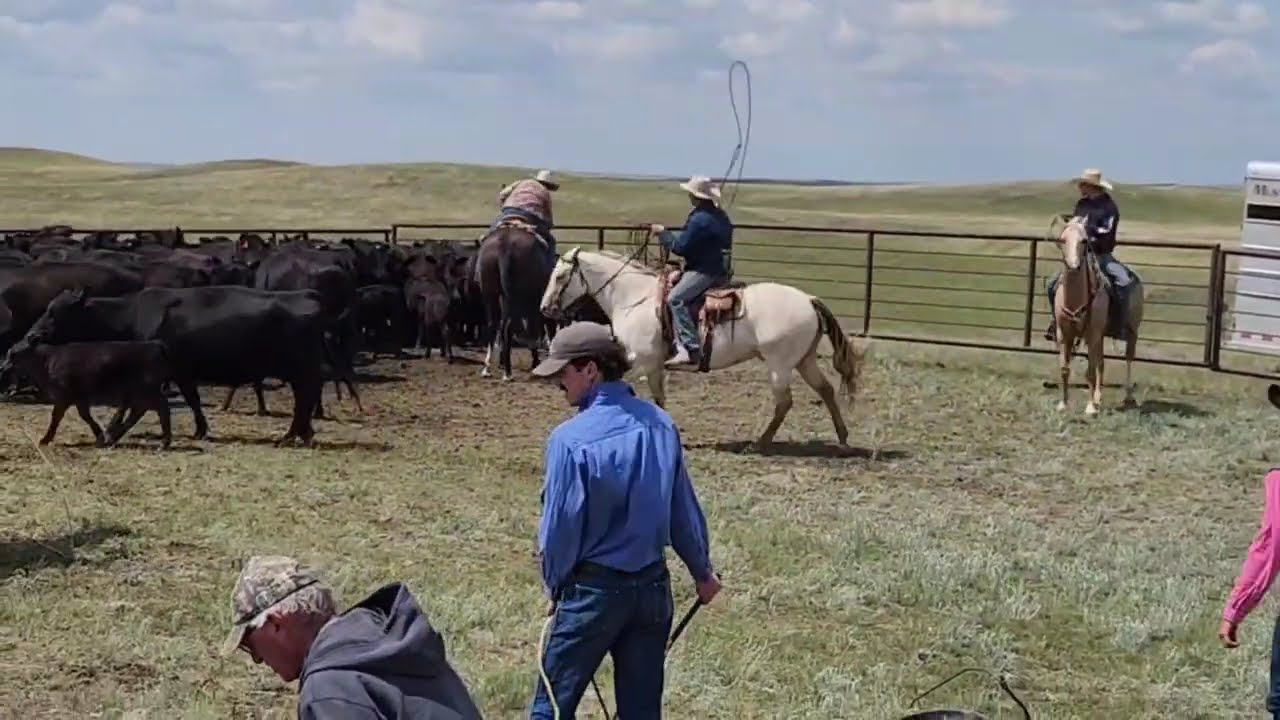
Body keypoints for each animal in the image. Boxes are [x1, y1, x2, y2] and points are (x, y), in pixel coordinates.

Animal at [474, 221, 556, 381]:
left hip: (490, 294)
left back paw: (488, 367)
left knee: (494, 325)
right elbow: (532, 330)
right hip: (513, 297)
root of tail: (504, 244)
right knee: (508, 327)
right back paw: (507, 373)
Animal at [539, 246, 868, 449]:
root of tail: (809, 299)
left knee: (785, 402)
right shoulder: (651, 365)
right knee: (826, 390)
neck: (634, 298)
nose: (545, 309)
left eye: (560, 276)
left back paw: (761, 443)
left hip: (780, 364)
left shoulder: (641, 361)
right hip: (804, 360)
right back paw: (842, 437)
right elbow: (658, 398)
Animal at [1050, 215, 1144, 414]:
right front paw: (1063, 404)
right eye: (1063, 240)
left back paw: (1128, 398)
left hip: (1131, 332)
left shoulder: (1091, 334)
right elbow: (1065, 368)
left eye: (1084, 241)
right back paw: (1098, 398)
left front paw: (1090, 408)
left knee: (1128, 359)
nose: (1074, 266)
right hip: (1100, 336)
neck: (1077, 297)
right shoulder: (1064, 334)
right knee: (1101, 362)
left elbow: (1090, 371)